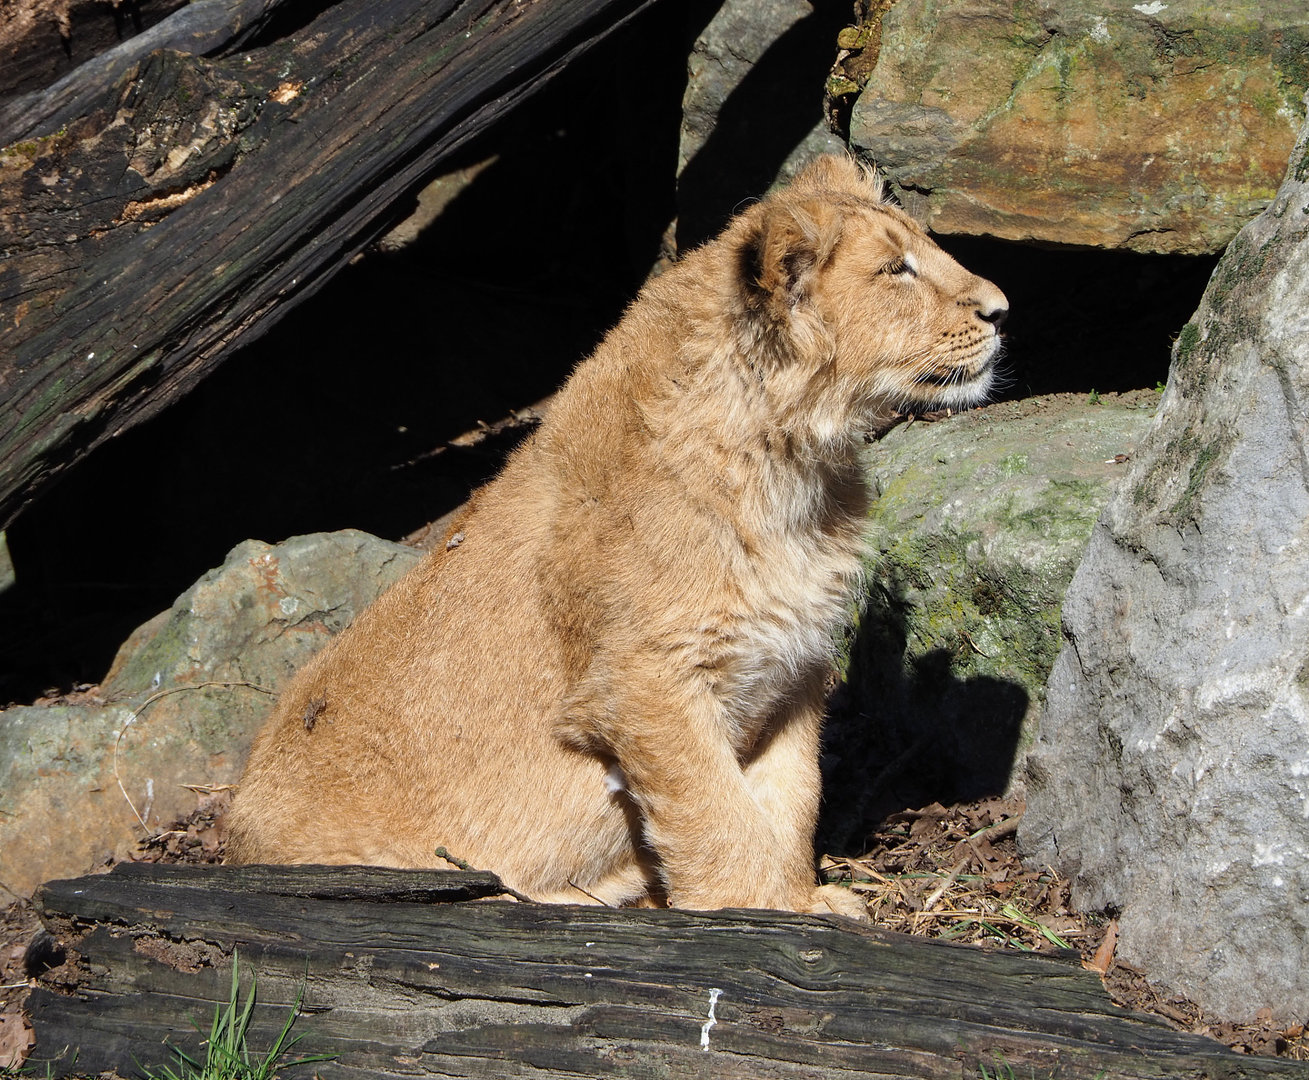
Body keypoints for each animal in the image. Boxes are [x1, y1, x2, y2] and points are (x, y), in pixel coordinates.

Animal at [225, 155, 1008, 916]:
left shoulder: (795, 667)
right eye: (895, 269)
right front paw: (754, 909)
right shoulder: (645, 680)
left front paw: (797, 900)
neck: (791, 471)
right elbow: (717, 813)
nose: (1002, 310)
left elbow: (790, 800)